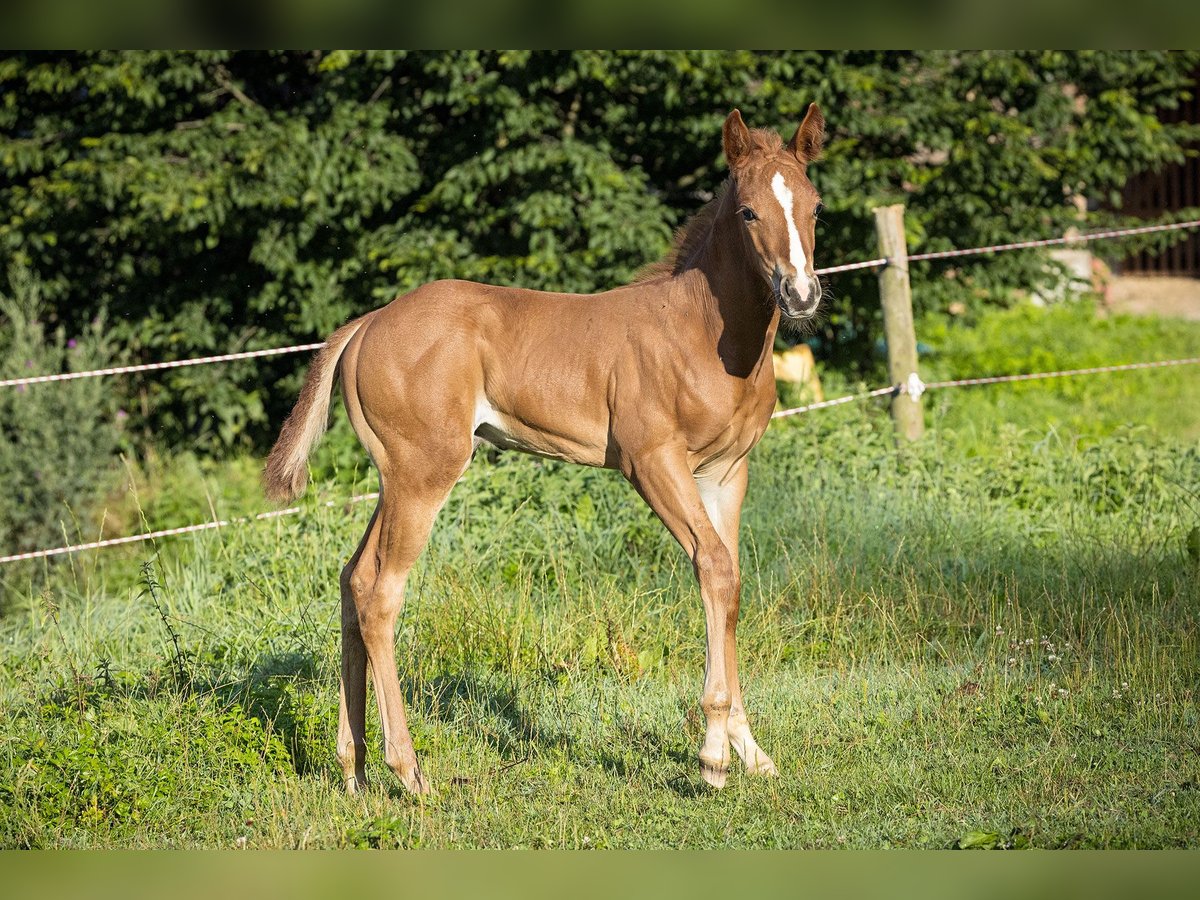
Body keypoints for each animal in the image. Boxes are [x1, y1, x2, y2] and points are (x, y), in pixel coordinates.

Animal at [265, 107, 825, 796]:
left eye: (815, 207)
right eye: (748, 211)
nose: (801, 295)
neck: (701, 334)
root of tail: (366, 324)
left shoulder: (725, 473)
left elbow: (730, 582)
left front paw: (749, 752)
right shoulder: (652, 463)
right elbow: (715, 569)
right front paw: (713, 759)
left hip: (394, 475)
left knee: (351, 577)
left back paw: (355, 768)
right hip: (424, 472)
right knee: (379, 591)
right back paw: (408, 771)